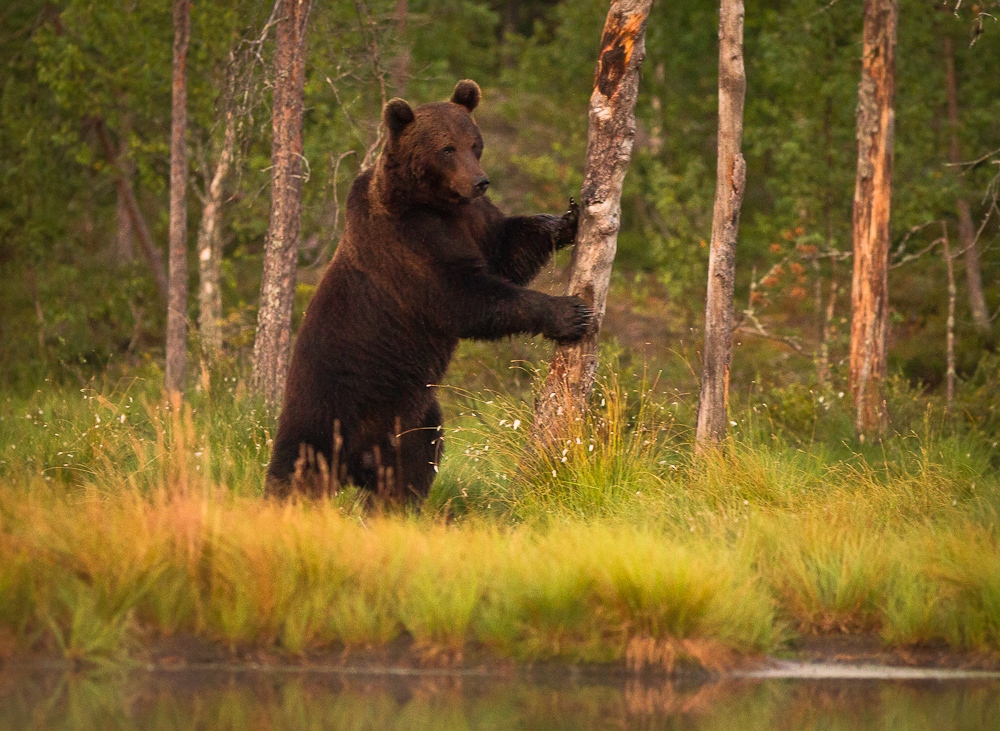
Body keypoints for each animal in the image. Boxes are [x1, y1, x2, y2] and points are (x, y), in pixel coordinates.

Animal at [266, 80, 592, 504]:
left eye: (475, 143)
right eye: (446, 148)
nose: (480, 181)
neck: (436, 204)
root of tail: (357, 464)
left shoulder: (474, 221)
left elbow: (508, 250)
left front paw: (567, 219)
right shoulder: (412, 245)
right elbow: (467, 299)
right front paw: (571, 313)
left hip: (412, 417)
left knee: (416, 459)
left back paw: (395, 504)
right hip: (326, 405)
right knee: (298, 466)